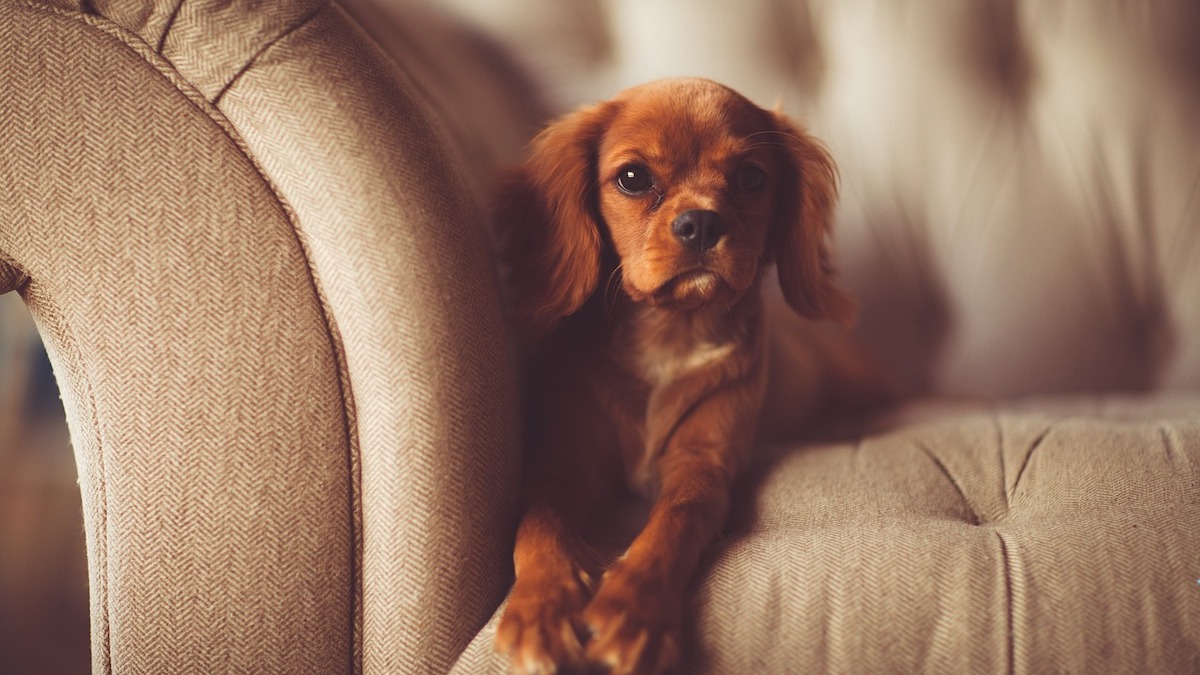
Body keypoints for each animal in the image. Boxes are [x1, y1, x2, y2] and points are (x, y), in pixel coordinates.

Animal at [492, 78, 878, 672]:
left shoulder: (704, 463)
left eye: (751, 178)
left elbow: (675, 520)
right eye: (633, 178)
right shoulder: (561, 466)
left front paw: (633, 610)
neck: (671, 332)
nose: (701, 223)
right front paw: (541, 608)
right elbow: (537, 526)